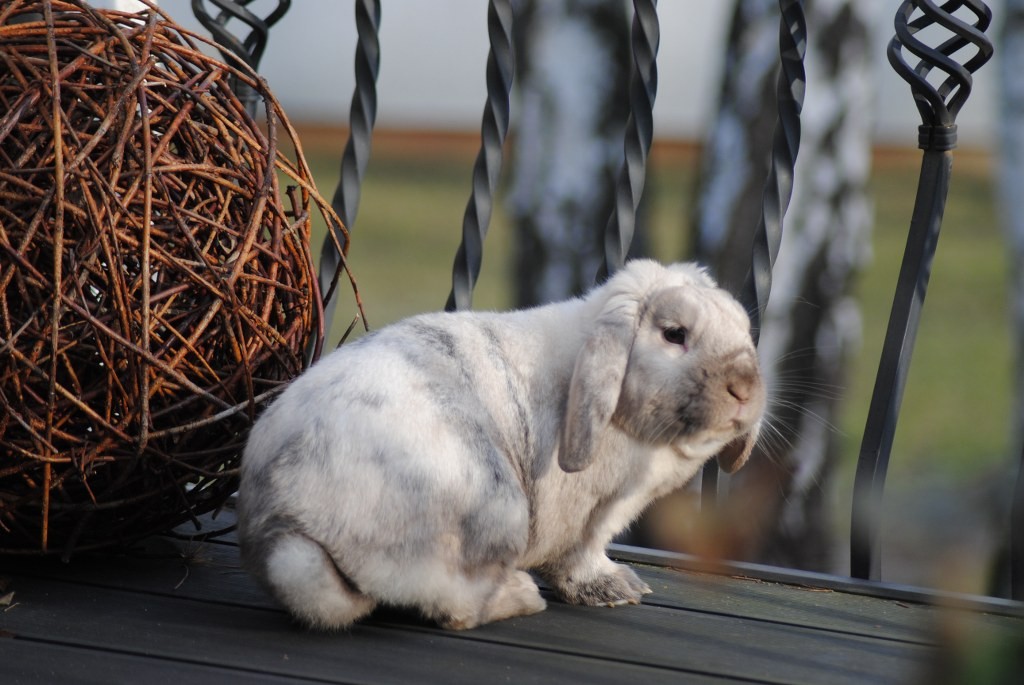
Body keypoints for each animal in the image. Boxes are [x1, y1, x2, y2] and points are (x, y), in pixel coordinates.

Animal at [239, 260, 765, 630]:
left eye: (744, 332)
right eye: (675, 334)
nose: (746, 387)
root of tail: (287, 525)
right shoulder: (591, 514)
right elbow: (580, 553)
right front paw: (615, 588)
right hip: (495, 506)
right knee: (453, 604)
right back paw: (520, 596)